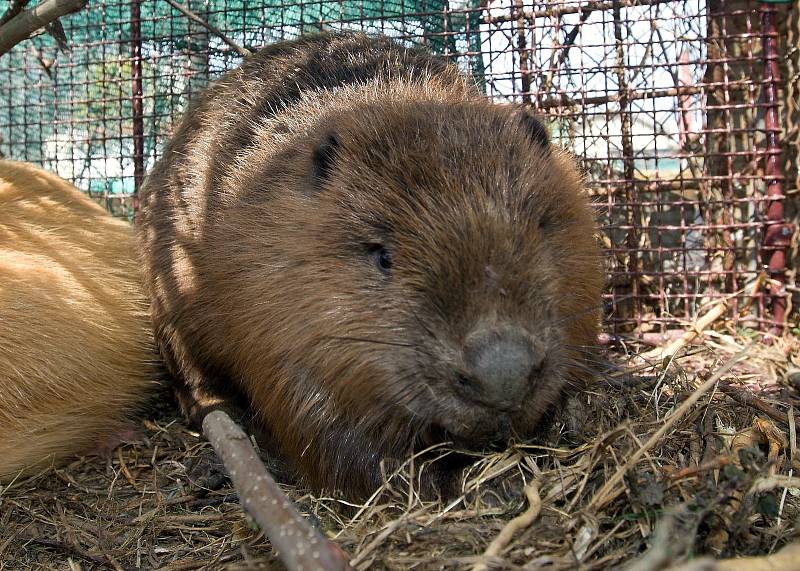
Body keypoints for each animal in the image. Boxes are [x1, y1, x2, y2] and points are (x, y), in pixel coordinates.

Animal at [139, 31, 600, 498]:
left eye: (541, 226)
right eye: (382, 255)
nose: (503, 374)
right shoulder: (271, 309)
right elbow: (316, 428)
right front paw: (441, 480)